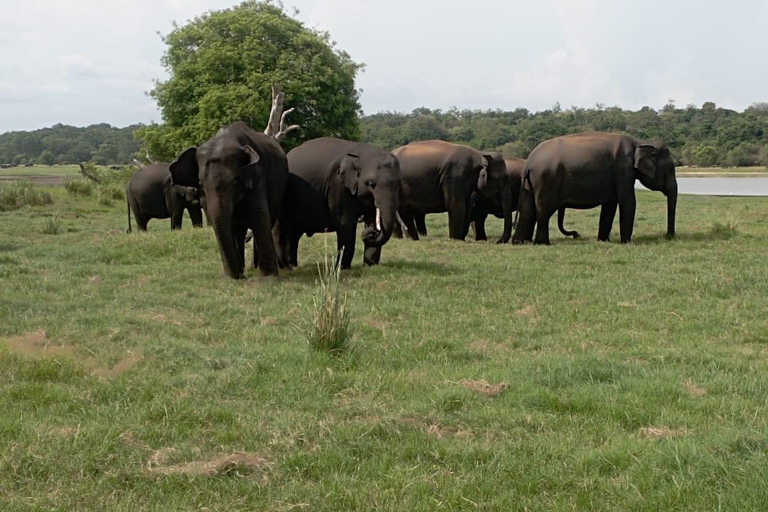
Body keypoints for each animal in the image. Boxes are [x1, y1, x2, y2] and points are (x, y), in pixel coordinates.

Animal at [170, 121, 288, 278]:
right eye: (200, 184)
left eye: (235, 182)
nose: (239, 278)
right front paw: (236, 276)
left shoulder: (256, 173)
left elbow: (259, 216)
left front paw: (270, 277)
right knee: (238, 230)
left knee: (268, 220)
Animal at [276, 138, 404, 270]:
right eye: (370, 184)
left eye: (399, 183)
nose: (373, 232)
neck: (360, 154)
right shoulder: (337, 185)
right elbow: (345, 223)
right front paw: (343, 268)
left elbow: (371, 217)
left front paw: (369, 266)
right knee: (282, 230)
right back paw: (286, 267)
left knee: (294, 233)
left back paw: (293, 265)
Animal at [512, 131, 676, 245]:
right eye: (670, 168)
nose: (668, 236)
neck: (640, 142)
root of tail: (529, 163)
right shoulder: (623, 169)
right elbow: (628, 201)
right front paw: (626, 243)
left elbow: (610, 205)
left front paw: (604, 241)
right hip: (546, 180)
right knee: (543, 211)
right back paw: (543, 243)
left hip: (529, 184)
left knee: (528, 210)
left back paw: (518, 242)